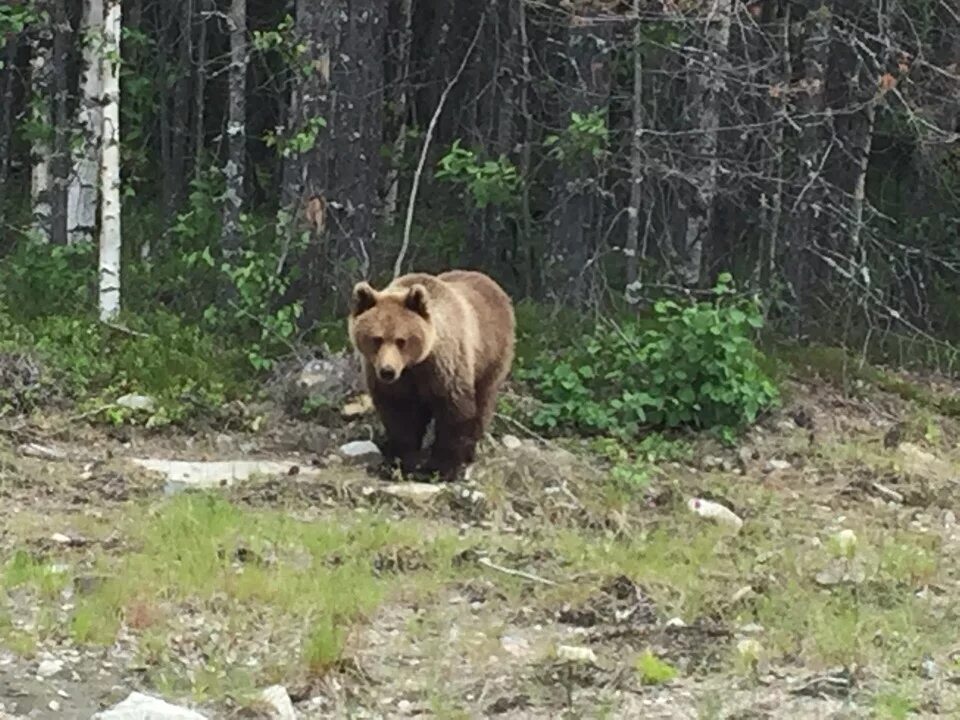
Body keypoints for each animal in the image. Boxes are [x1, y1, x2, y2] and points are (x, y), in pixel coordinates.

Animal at [350, 270, 516, 478]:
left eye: (401, 340)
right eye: (376, 339)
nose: (387, 371)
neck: (413, 365)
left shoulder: (444, 368)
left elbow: (454, 411)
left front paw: (442, 468)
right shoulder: (394, 382)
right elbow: (400, 415)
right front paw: (399, 462)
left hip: (491, 355)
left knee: (483, 402)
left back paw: (469, 454)